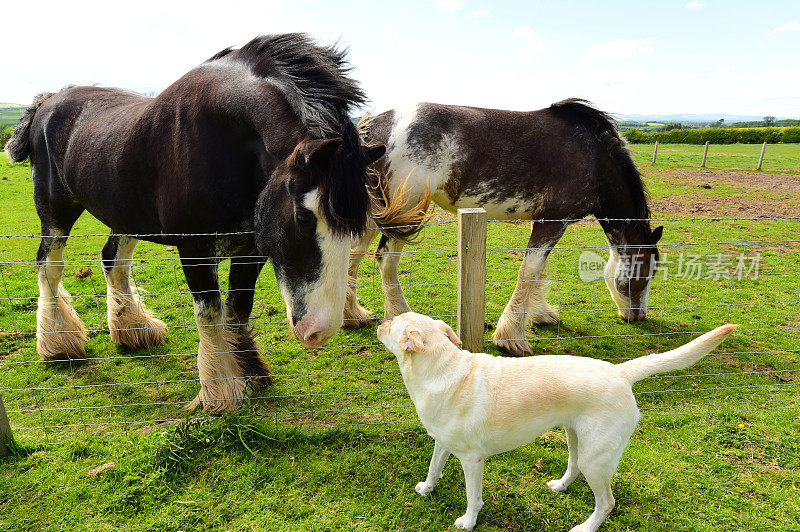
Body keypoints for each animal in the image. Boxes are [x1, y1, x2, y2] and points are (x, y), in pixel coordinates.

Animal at [5, 33, 400, 412]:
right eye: (304, 216)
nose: (318, 332)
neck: (224, 141)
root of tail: (49, 101)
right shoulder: (194, 247)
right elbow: (209, 312)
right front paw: (219, 393)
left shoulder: (252, 247)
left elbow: (238, 308)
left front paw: (251, 373)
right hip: (56, 211)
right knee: (49, 266)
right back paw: (58, 343)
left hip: (126, 215)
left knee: (113, 260)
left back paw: (134, 330)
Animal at [346, 101, 664, 358]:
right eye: (646, 273)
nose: (638, 316)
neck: (593, 158)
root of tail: (372, 129)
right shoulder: (552, 221)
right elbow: (530, 271)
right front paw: (511, 337)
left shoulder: (545, 222)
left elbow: (537, 272)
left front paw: (541, 315)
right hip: (403, 215)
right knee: (385, 260)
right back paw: (401, 317)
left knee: (354, 254)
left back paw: (354, 315)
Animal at [376, 312, 736, 532]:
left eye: (393, 322)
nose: (380, 321)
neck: (441, 369)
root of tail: (620, 372)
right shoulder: (442, 442)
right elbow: (433, 467)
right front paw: (427, 488)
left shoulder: (471, 460)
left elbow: (472, 497)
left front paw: (468, 521)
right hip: (575, 439)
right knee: (573, 467)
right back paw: (560, 486)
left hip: (595, 458)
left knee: (607, 502)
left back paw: (586, 527)